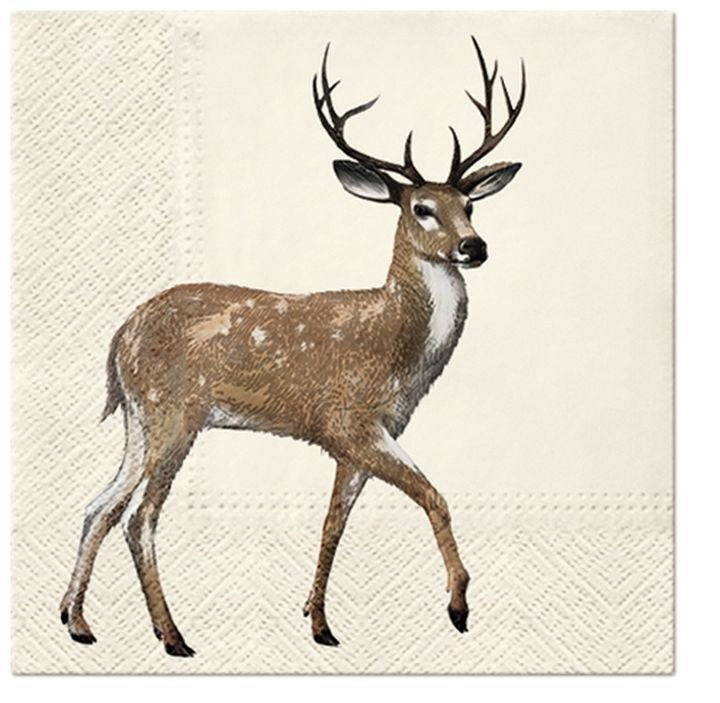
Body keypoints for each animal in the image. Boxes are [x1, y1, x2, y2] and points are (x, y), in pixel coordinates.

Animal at [60, 37, 525, 656]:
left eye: (469, 206)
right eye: (421, 208)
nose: (475, 247)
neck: (397, 346)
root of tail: (118, 340)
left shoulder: (361, 439)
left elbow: (333, 523)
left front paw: (319, 622)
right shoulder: (348, 420)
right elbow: (434, 496)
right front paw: (458, 606)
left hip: (139, 419)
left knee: (99, 507)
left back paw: (77, 622)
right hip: (173, 413)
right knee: (140, 517)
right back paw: (173, 636)